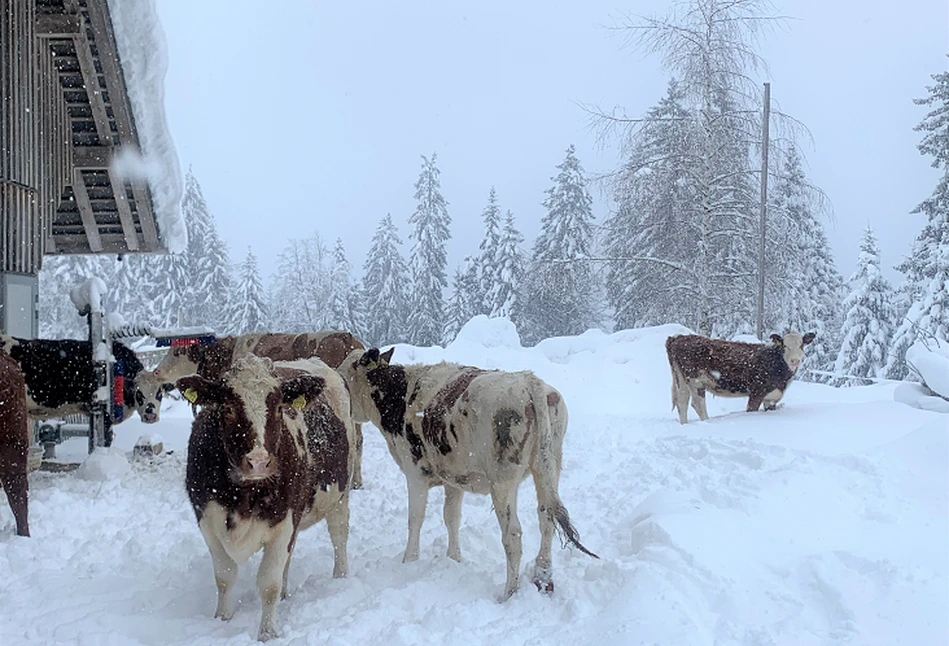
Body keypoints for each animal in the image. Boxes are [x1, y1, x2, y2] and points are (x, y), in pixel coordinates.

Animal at [179, 356, 356, 644]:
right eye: (227, 407)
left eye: (278, 407)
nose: (259, 461)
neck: (242, 495)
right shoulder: (207, 522)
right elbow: (225, 576)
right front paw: (222, 618)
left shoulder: (284, 522)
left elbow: (268, 583)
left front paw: (267, 633)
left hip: (341, 493)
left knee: (339, 536)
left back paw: (340, 577)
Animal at [668, 332, 816, 428]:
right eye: (785, 346)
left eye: (801, 345)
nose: (795, 360)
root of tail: (678, 337)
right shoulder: (757, 393)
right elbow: (751, 410)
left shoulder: (771, 397)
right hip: (696, 380)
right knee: (697, 403)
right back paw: (707, 422)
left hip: (681, 379)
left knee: (682, 402)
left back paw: (684, 425)